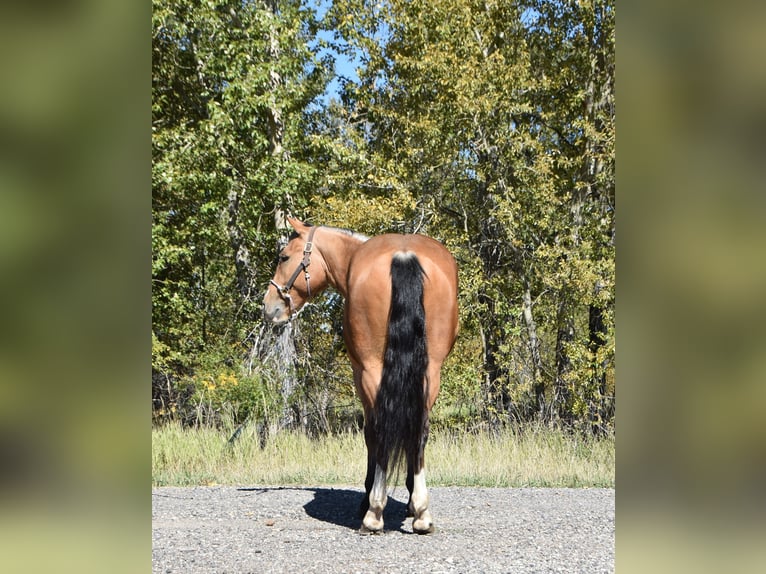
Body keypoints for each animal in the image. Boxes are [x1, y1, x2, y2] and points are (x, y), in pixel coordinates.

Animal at [263, 217, 459, 534]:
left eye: (284, 257)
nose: (269, 306)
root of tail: (403, 255)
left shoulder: (360, 373)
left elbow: (370, 433)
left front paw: (367, 500)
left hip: (371, 370)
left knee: (380, 428)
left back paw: (374, 512)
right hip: (431, 372)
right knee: (419, 430)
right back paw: (421, 513)